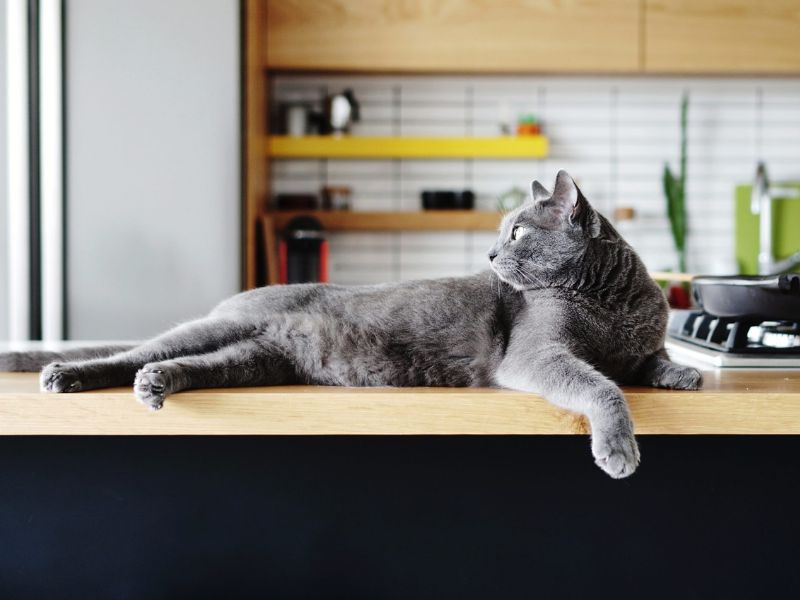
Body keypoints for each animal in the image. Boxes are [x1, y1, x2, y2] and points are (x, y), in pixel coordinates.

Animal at [0, 171, 700, 480]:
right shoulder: (536, 355)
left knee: (180, 366)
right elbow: (601, 384)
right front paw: (618, 448)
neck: (608, 300)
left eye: (518, 232)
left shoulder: (641, 341)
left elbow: (650, 359)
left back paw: (154, 385)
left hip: (254, 359)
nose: (489, 256)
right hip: (218, 331)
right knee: (132, 352)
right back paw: (67, 374)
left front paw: (685, 375)